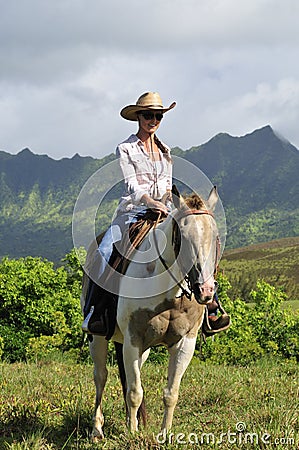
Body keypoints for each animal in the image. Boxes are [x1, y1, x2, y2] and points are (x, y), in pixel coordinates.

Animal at [81, 185, 220, 440]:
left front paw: (163, 434)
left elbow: (170, 392)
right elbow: (135, 392)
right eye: (182, 237)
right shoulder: (133, 339)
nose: (205, 290)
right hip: (97, 338)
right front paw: (133, 434)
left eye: (215, 236)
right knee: (101, 377)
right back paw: (97, 429)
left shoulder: (185, 343)